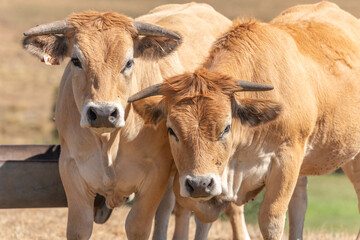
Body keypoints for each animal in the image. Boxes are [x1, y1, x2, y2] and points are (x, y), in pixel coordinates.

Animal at [22, 3, 231, 240]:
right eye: (76, 60)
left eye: (129, 62)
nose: (103, 113)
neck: (108, 142)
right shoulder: (71, 171)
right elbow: (79, 228)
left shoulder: (155, 175)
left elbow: (137, 226)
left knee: (196, 215)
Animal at [130, 2, 360, 240]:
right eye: (171, 130)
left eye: (226, 128)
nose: (199, 183)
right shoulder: (214, 179)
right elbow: (203, 214)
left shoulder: (287, 160)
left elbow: (271, 220)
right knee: (300, 201)